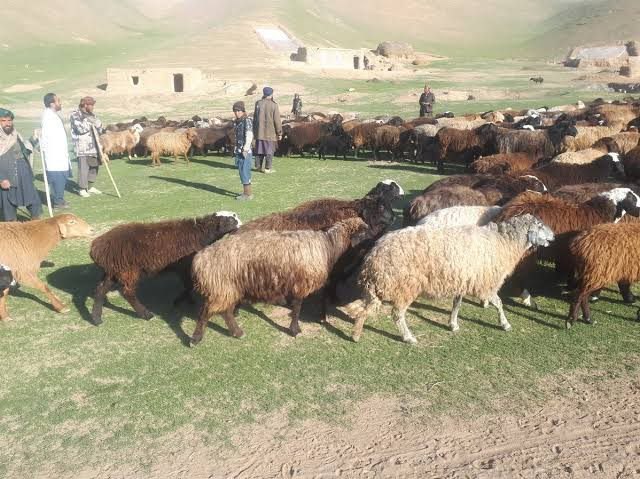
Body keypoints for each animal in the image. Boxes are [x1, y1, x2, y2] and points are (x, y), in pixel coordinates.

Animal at [89, 211, 241, 325]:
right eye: (230, 220)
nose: (241, 225)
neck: (199, 234)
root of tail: (96, 248)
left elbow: (188, 286)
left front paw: (187, 300)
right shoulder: (185, 266)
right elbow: (188, 286)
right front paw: (179, 300)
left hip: (113, 271)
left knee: (100, 290)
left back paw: (96, 318)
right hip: (127, 270)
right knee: (128, 292)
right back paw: (146, 314)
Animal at [190, 217, 372, 345]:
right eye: (365, 233)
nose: (374, 244)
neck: (327, 247)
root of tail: (200, 259)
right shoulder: (301, 283)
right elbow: (297, 308)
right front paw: (294, 330)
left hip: (227, 288)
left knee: (224, 311)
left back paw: (237, 332)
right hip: (222, 286)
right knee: (206, 312)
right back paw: (195, 339)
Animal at [345, 214, 554, 343]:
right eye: (540, 226)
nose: (553, 237)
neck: (503, 242)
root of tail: (373, 255)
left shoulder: (463, 279)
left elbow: (457, 304)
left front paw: (453, 324)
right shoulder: (484, 282)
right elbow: (499, 303)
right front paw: (505, 323)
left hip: (385, 285)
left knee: (366, 309)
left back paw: (356, 334)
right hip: (405, 286)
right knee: (397, 314)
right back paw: (408, 338)